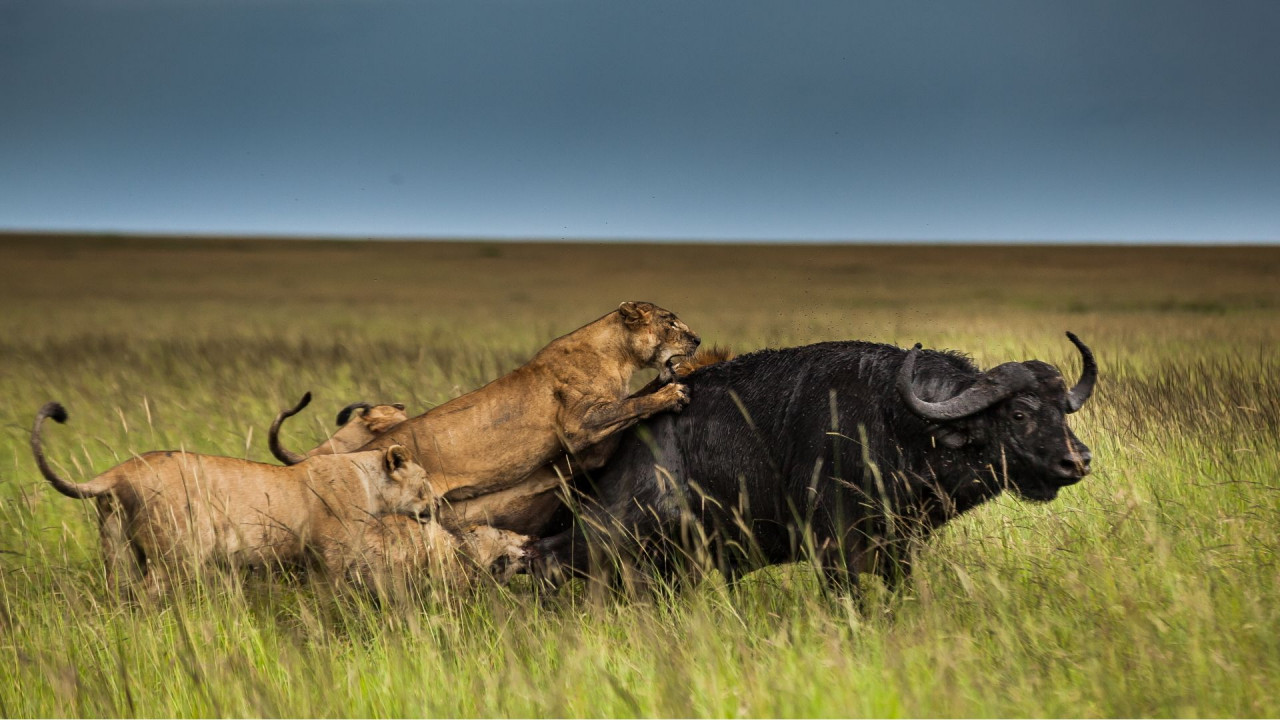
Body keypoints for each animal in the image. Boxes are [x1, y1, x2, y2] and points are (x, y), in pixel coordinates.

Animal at [535, 330, 1095, 589]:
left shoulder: (898, 549)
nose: (1078, 462)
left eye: (1063, 409)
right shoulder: (834, 549)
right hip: (613, 536)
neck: (894, 424)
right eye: (1019, 413)